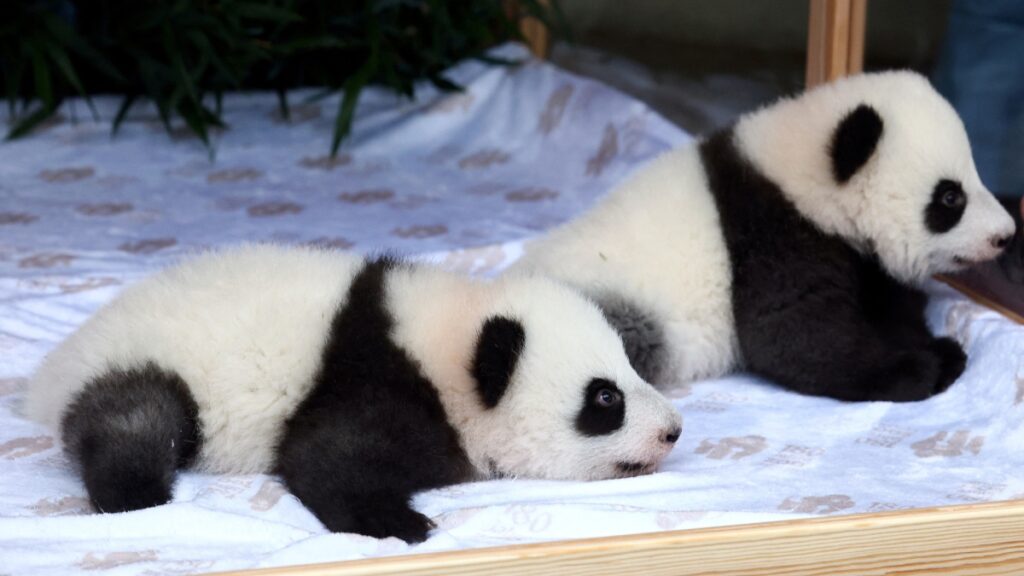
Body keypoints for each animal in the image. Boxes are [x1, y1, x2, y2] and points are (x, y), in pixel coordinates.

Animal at [22, 244, 682, 543]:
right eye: (605, 399)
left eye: (631, 368)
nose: (673, 430)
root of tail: (56, 366)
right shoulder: (374, 376)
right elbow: (327, 457)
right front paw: (400, 521)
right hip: (149, 365)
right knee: (137, 422)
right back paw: (137, 493)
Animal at [512, 71, 1016, 403]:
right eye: (949, 197)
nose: (1005, 236)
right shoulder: (771, 235)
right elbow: (792, 334)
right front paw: (922, 367)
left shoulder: (852, 252)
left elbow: (886, 302)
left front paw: (937, 348)